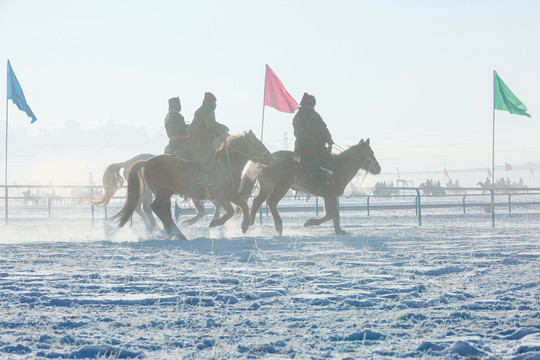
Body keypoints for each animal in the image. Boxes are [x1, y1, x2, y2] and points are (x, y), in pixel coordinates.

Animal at [114, 131, 274, 240]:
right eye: (257, 143)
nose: (271, 158)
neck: (225, 163)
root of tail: (146, 162)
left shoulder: (220, 196)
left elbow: (230, 210)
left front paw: (214, 222)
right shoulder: (226, 193)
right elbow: (240, 206)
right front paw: (243, 225)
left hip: (164, 194)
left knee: (160, 210)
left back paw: (174, 232)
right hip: (163, 193)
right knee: (156, 208)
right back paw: (175, 232)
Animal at [243, 139, 382, 236]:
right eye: (371, 152)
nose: (378, 168)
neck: (338, 167)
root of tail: (268, 159)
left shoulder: (330, 197)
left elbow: (332, 215)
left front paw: (339, 231)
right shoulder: (330, 196)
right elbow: (331, 215)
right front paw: (310, 222)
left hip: (267, 187)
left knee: (256, 201)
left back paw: (248, 223)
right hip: (281, 187)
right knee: (271, 202)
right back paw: (278, 226)